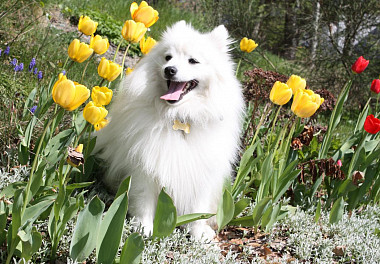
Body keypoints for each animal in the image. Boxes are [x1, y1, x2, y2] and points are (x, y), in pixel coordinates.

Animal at [94, 20, 243, 239]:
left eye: (193, 61)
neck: (179, 117)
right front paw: (143, 227)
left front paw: (198, 233)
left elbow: (198, 206)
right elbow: (144, 200)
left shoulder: (202, 170)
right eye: (168, 57)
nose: (169, 69)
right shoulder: (145, 164)